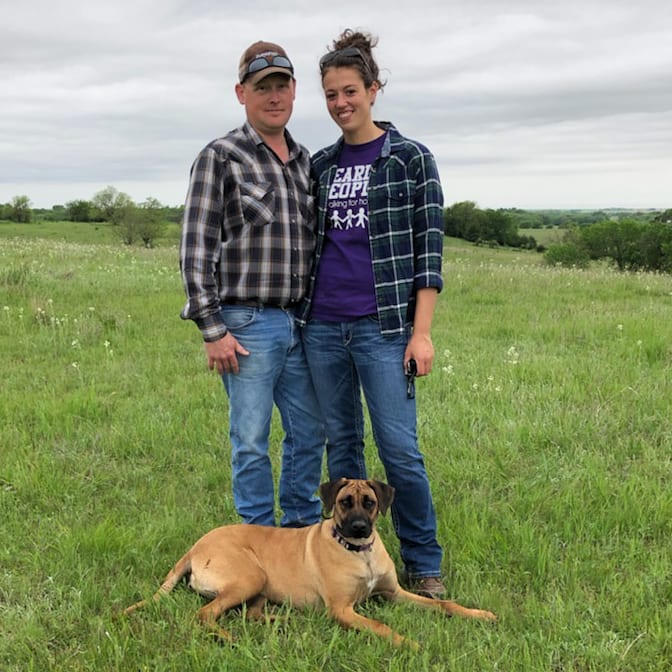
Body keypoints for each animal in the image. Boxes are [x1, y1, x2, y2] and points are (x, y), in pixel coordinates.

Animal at [125, 478, 496, 648]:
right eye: (345, 502)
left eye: (370, 502)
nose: (359, 528)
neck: (359, 553)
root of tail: (194, 547)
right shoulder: (343, 609)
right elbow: (379, 625)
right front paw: (408, 643)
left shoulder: (394, 593)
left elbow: (445, 604)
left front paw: (479, 614)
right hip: (250, 576)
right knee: (206, 614)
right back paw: (229, 637)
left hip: (259, 583)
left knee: (251, 613)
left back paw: (283, 620)